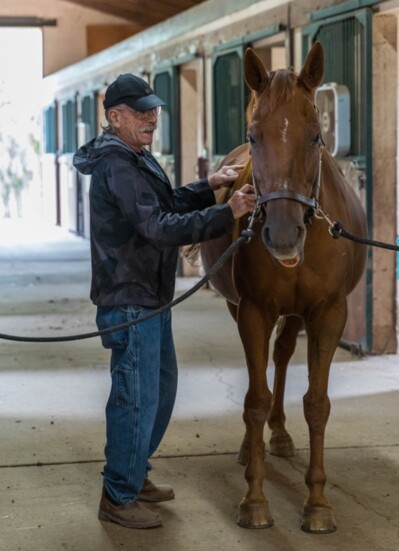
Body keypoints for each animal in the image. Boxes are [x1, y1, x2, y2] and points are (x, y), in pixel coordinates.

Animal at [202, 41, 368, 532]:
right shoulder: (254, 309)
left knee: (281, 355)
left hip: (295, 314)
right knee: (261, 373)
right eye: (254, 136)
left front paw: (318, 505)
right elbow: (255, 399)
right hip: (244, 309)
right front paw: (254, 501)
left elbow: (317, 403)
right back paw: (251, 445)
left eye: (315, 136)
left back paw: (278, 435)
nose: (282, 235)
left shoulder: (329, 313)